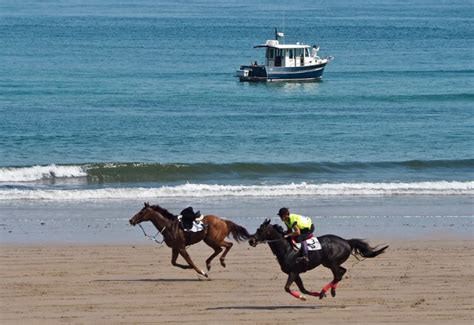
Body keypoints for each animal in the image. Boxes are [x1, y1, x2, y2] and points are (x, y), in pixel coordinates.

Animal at [250, 219, 386, 300]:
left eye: (260, 230)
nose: (251, 241)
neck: (287, 249)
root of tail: (346, 241)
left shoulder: (293, 272)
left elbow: (287, 288)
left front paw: (305, 297)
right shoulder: (295, 273)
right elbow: (303, 289)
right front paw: (306, 296)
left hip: (332, 263)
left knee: (338, 275)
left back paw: (323, 291)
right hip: (329, 263)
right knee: (341, 272)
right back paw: (329, 291)